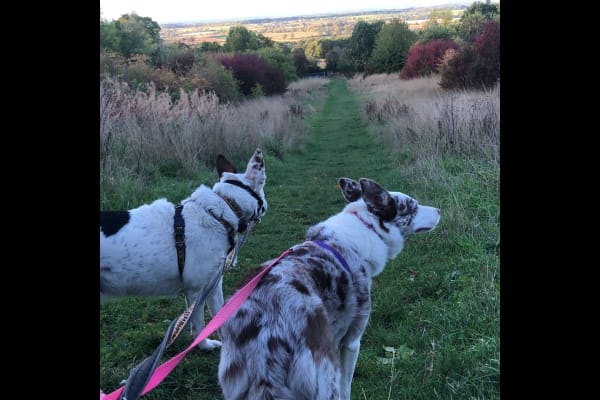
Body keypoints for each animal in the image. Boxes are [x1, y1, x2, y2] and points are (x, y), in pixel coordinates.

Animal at [100, 148, 268, 348]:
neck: (219, 212)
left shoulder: (213, 285)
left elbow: (219, 316)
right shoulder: (195, 291)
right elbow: (199, 325)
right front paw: (205, 345)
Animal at [218, 179, 438, 400]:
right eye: (413, 207)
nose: (438, 209)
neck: (366, 228)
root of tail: (267, 336)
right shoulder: (351, 341)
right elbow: (346, 386)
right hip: (325, 376)